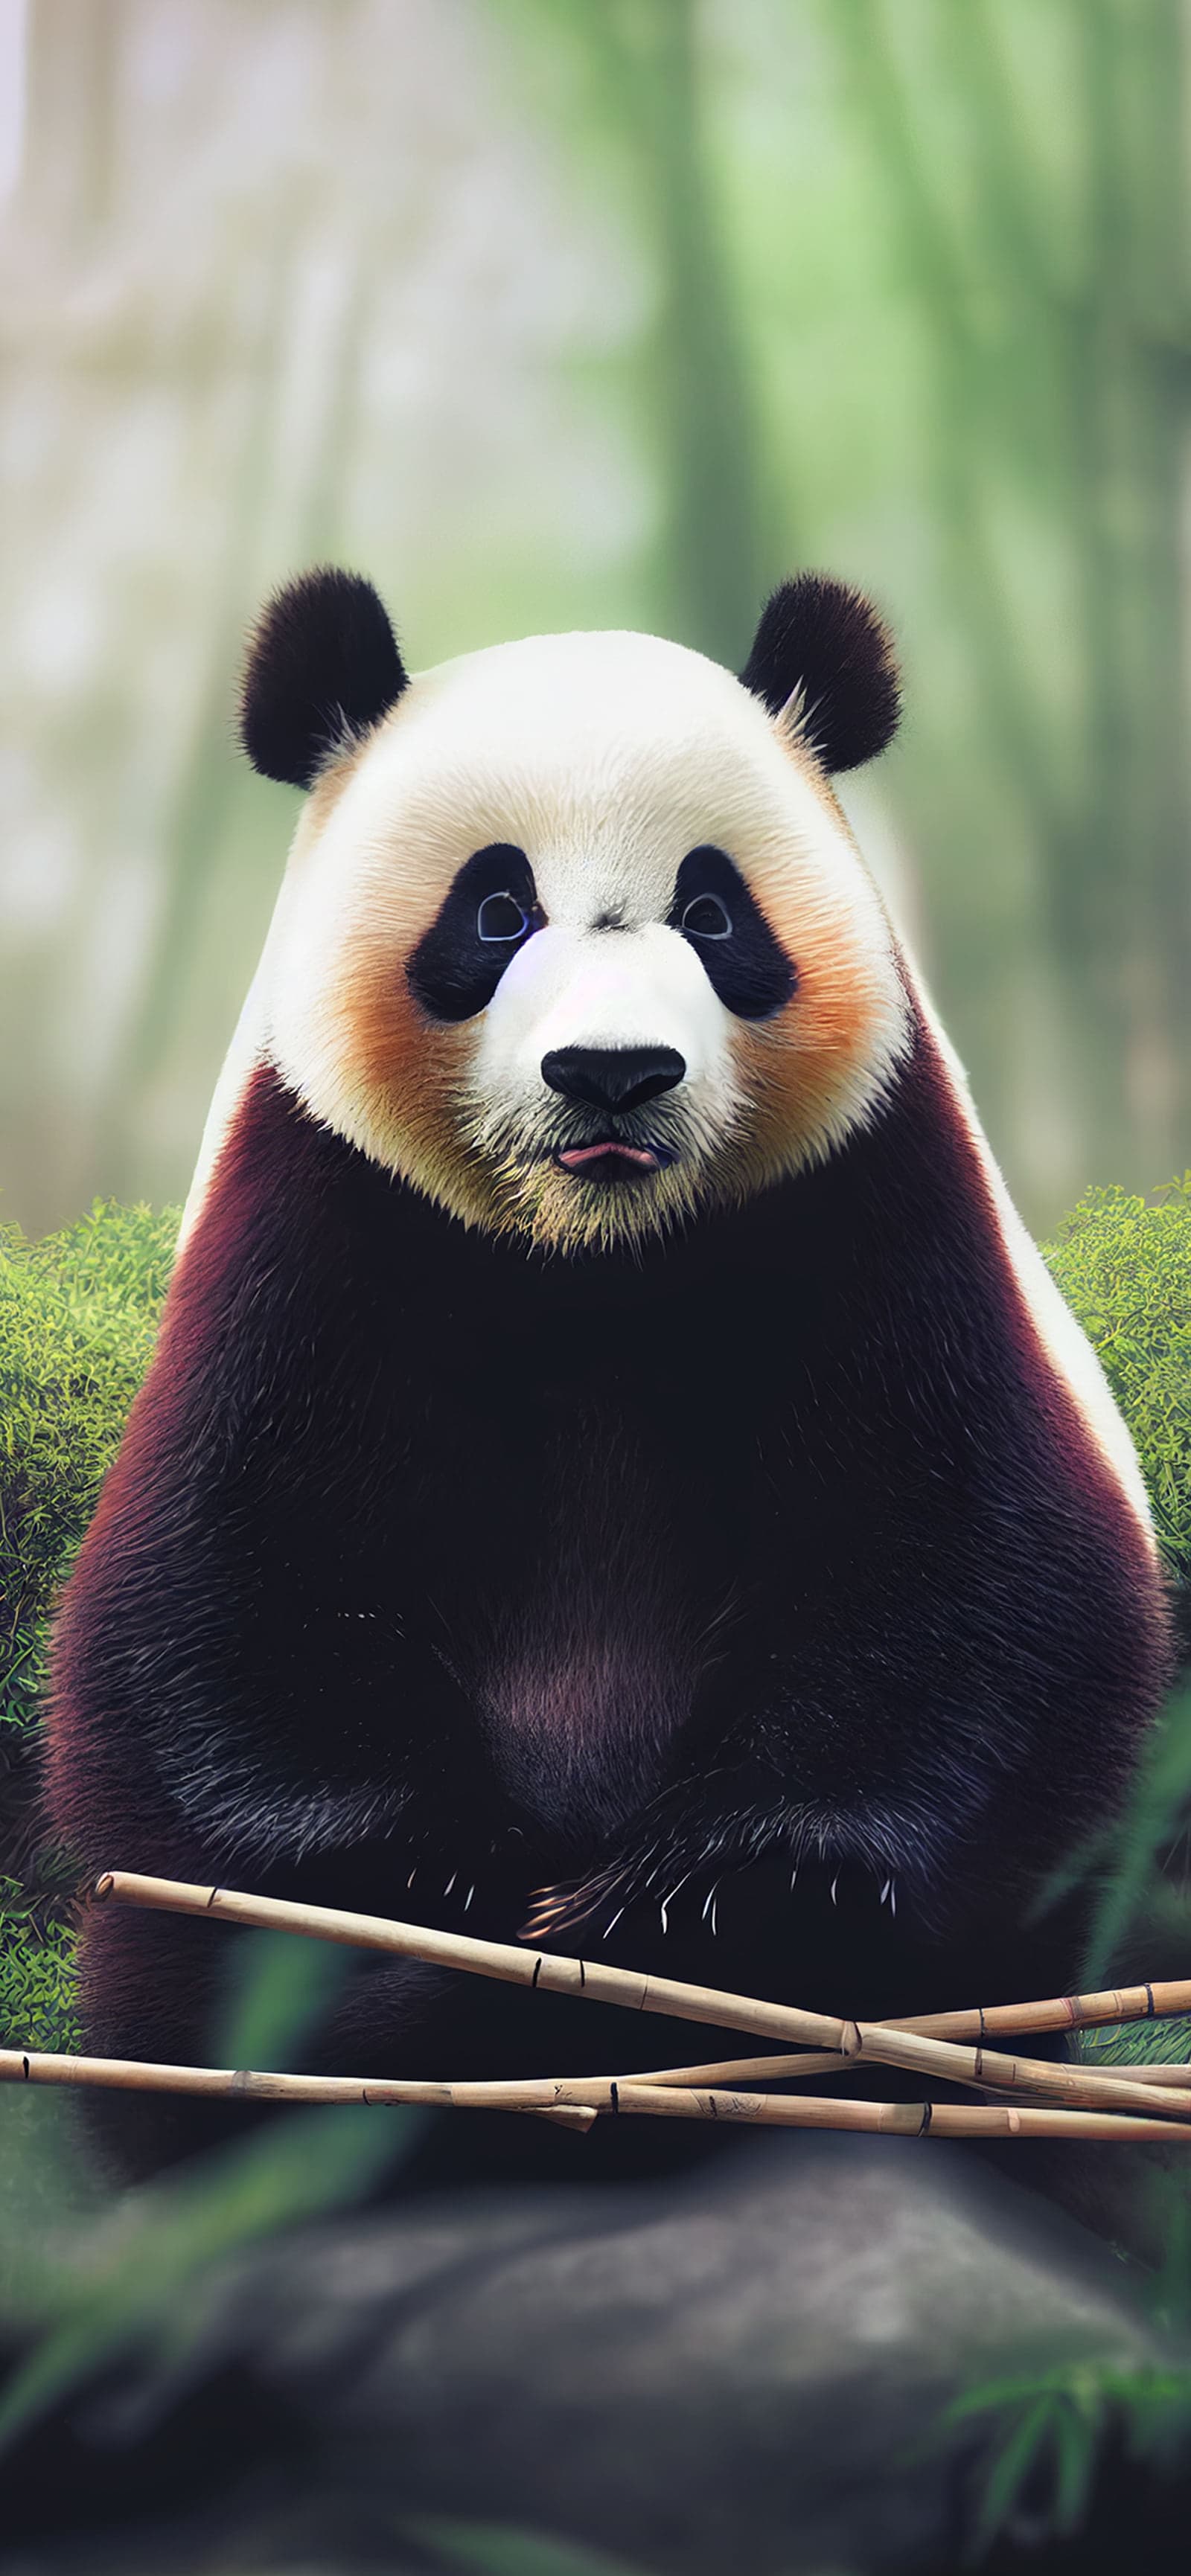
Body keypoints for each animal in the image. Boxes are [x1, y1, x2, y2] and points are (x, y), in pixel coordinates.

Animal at [48, 567, 1173, 2174]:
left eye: (711, 911)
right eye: (495, 908)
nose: (614, 1073)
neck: (596, 1254)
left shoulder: (869, 1197)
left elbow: (967, 1581)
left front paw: (706, 1901)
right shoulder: (321, 1215)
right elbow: (224, 1599)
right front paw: (443, 1888)